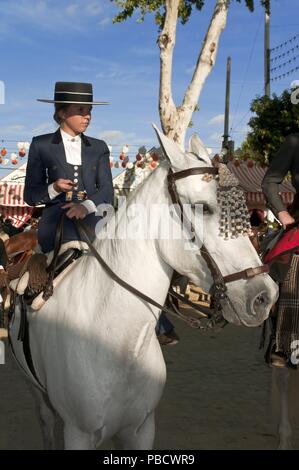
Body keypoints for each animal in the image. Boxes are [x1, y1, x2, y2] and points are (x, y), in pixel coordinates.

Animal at [8, 126, 278, 450]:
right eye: (204, 208)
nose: (265, 296)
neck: (117, 342)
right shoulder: (79, 434)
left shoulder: (140, 429)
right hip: (36, 392)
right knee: (47, 422)